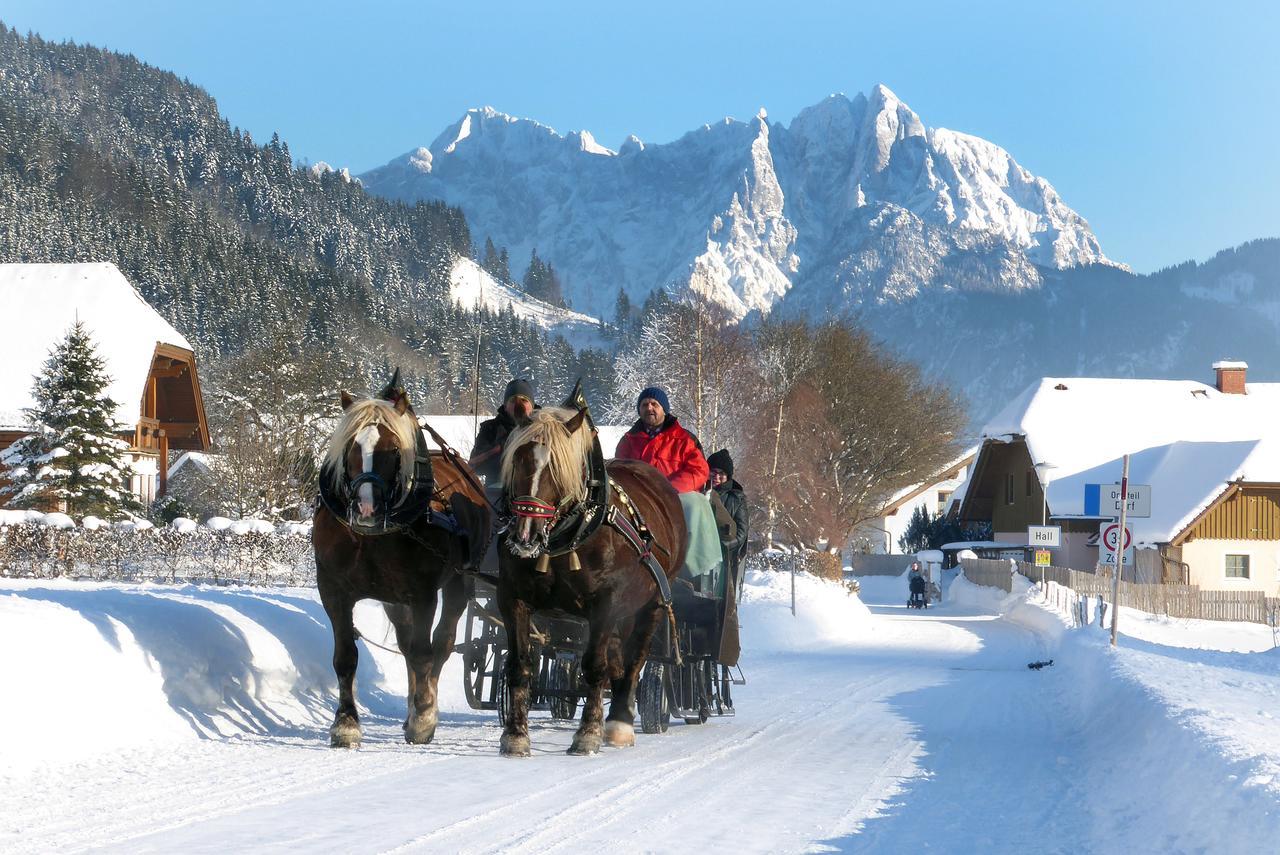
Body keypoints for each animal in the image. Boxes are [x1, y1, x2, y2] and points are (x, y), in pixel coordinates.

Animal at [312, 391, 486, 747]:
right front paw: (346, 724)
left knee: (440, 644)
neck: (372, 536)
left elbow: (423, 653)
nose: (366, 508)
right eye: (350, 445)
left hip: (458, 583)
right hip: (394, 600)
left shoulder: (422, 594)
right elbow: (345, 655)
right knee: (407, 645)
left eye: (393, 449)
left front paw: (423, 718)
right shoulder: (333, 590)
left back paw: (425, 706)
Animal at [496, 407, 686, 752]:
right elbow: (519, 665)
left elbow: (595, 666)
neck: (565, 538)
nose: (526, 536)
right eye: (518, 458)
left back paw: (620, 722)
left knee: (635, 660)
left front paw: (588, 734)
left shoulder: (605, 605)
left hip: (650, 604)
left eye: (558, 469)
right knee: (619, 660)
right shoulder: (512, 598)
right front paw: (515, 735)